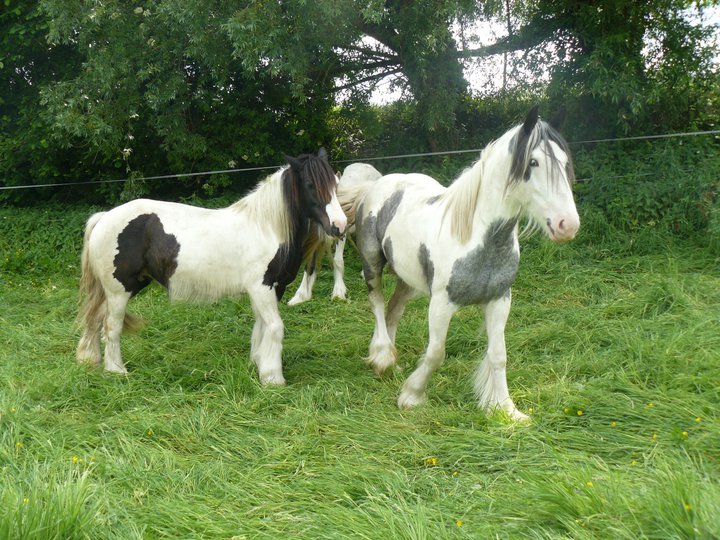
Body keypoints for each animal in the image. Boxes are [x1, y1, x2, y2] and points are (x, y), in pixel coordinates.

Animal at [77, 149, 348, 384]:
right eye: (311, 184)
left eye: (336, 183)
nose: (340, 226)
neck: (266, 227)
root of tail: (104, 217)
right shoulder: (262, 288)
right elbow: (274, 327)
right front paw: (273, 378)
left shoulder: (273, 289)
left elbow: (261, 327)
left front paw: (258, 363)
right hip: (119, 290)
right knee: (111, 326)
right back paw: (116, 370)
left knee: (96, 319)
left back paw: (91, 360)